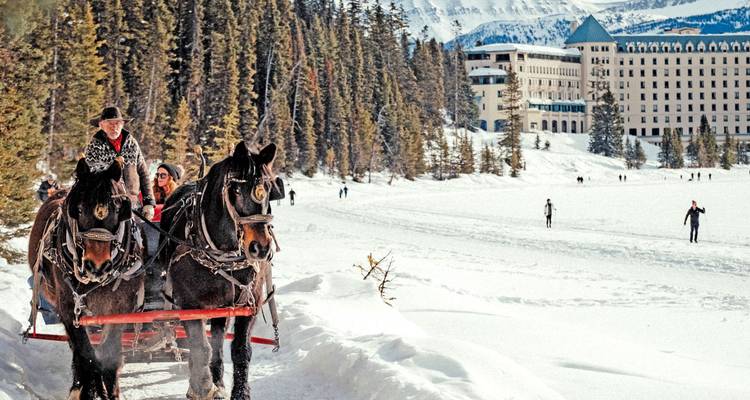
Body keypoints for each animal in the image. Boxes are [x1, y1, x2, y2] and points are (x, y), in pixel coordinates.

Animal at [27, 158, 145, 400]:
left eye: (118, 209)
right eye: (80, 209)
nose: (97, 265)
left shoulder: (119, 309)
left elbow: (109, 354)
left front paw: (110, 391)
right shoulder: (68, 307)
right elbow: (86, 354)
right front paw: (87, 388)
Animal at [160, 141, 281, 400]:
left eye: (268, 188)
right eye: (235, 190)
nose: (260, 247)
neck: (222, 254)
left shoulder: (249, 302)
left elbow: (240, 349)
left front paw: (239, 392)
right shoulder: (188, 304)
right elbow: (200, 347)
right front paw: (203, 387)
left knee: (217, 341)